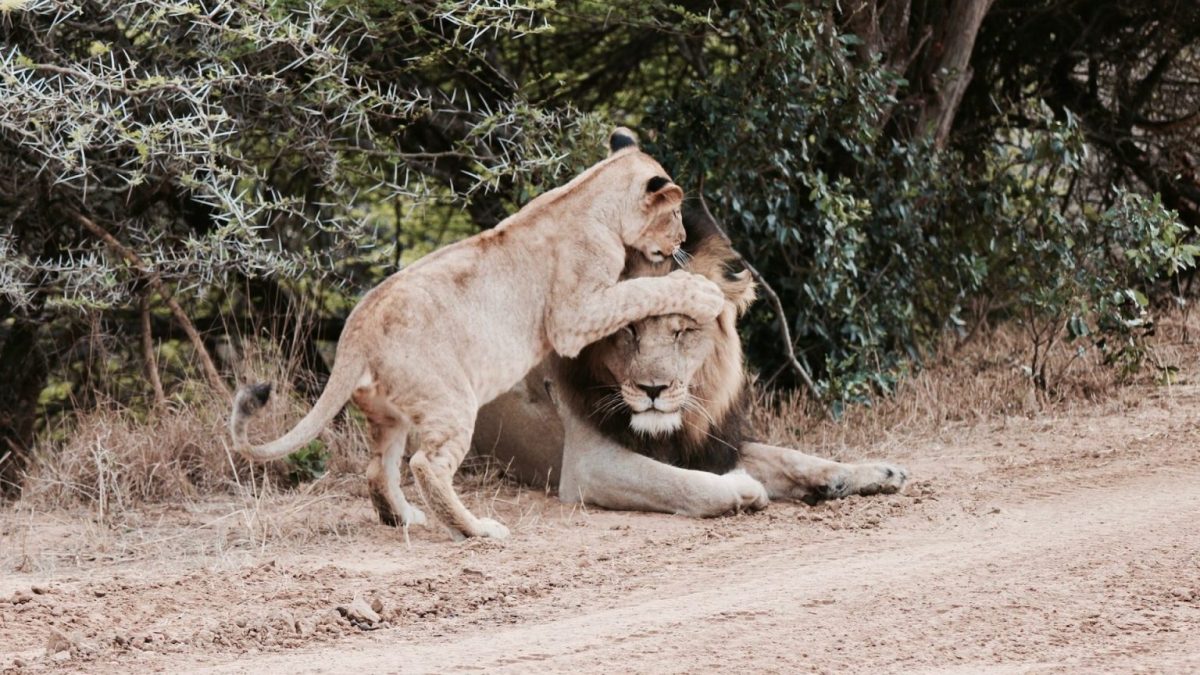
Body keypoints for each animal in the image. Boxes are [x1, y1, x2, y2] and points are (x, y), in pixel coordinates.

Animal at [229, 128, 727, 540]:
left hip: (390, 415)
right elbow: (641, 290)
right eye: (675, 213)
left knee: (377, 469)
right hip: (449, 400)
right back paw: (475, 529)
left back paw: (403, 518)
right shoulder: (574, 315)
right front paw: (703, 292)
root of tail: (357, 327)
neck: (589, 194)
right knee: (427, 465)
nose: (683, 239)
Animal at [473, 202, 908, 516]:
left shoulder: (712, 442)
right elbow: (682, 483)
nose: (653, 389)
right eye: (628, 330)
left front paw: (868, 473)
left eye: (681, 331)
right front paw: (744, 488)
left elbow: (789, 456)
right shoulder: (588, 466)